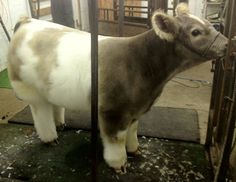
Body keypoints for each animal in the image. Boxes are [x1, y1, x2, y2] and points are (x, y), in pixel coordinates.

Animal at [8, 3, 228, 173]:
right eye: (195, 32)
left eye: (209, 24)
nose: (227, 44)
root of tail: (28, 21)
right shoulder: (113, 111)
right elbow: (117, 139)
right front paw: (119, 164)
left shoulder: (135, 108)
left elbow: (133, 131)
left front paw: (135, 150)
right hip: (29, 89)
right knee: (40, 113)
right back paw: (50, 138)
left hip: (49, 88)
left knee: (54, 105)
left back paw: (60, 124)